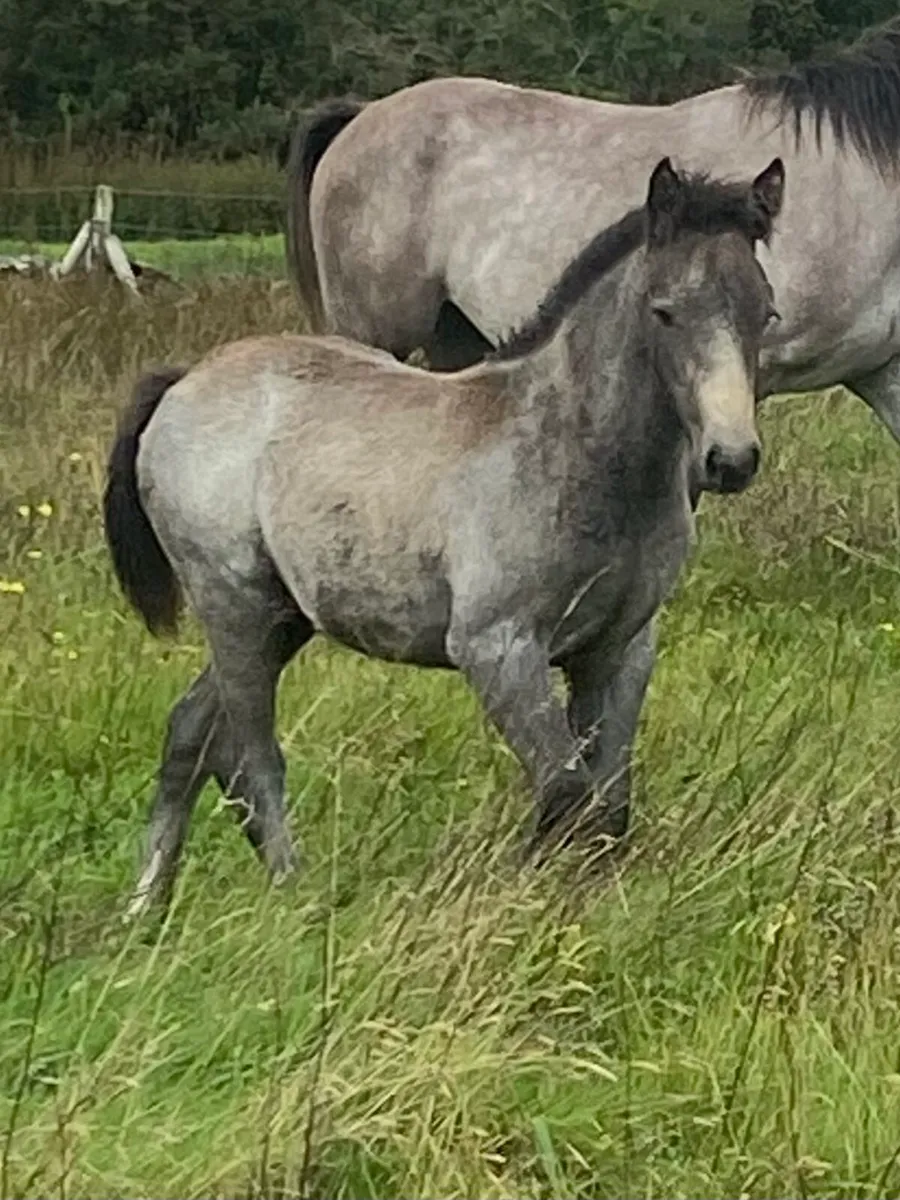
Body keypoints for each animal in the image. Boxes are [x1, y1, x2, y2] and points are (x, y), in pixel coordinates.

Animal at [104, 157, 783, 915]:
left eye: (765, 313)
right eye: (664, 311)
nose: (730, 459)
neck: (576, 451)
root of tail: (182, 382)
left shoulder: (619, 650)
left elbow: (609, 804)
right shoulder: (497, 647)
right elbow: (566, 790)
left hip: (282, 619)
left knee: (190, 734)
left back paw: (145, 908)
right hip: (236, 608)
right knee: (251, 757)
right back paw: (292, 894)